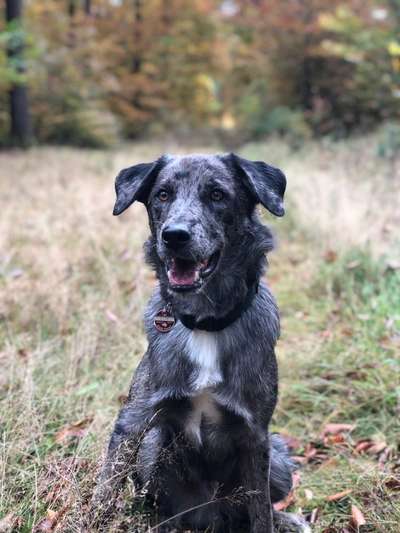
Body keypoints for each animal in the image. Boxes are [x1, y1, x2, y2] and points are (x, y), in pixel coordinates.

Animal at [91, 154, 310, 532]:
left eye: (217, 195)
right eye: (162, 194)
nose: (174, 236)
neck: (206, 324)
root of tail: (210, 516)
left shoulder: (255, 436)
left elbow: (261, 512)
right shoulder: (133, 422)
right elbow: (106, 491)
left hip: (279, 457)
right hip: (153, 449)